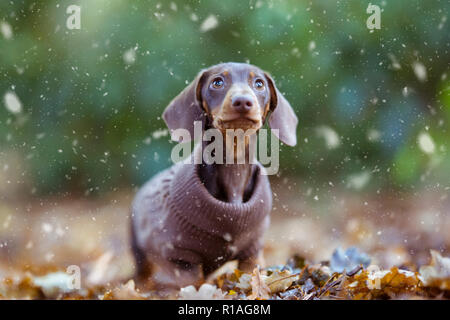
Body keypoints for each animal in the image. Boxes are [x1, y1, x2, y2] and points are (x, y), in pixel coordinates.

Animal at [131, 62, 298, 288]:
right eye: (217, 82)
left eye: (259, 84)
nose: (243, 101)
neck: (234, 171)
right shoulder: (181, 258)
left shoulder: (252, 252)